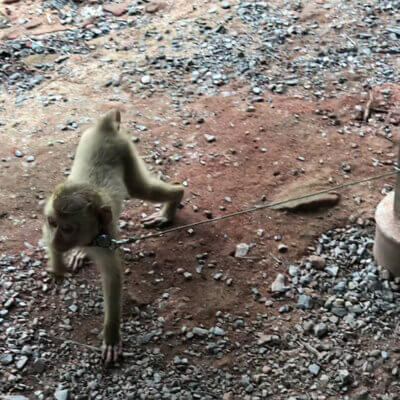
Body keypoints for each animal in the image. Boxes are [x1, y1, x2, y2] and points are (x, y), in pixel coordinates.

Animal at [42, 108, 184, 362]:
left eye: (67, 229)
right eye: (53, 223)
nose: (57, 240)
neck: (90, 236)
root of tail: (105, 127)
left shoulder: (104, 240)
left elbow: (112, 277)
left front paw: (111, 335)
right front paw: (57, 267)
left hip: (126, 151)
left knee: (143, 189)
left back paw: (174, 198)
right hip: (89, 138)